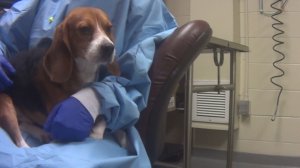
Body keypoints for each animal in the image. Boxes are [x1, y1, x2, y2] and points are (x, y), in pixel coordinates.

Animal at [0, 7, 119, 148]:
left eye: (109, 28)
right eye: (85, 29)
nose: (109, 48)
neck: (83, 69)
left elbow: (103, 119)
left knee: (23, 124)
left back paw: (42, 134)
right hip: (6, 102)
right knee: (20, 142)